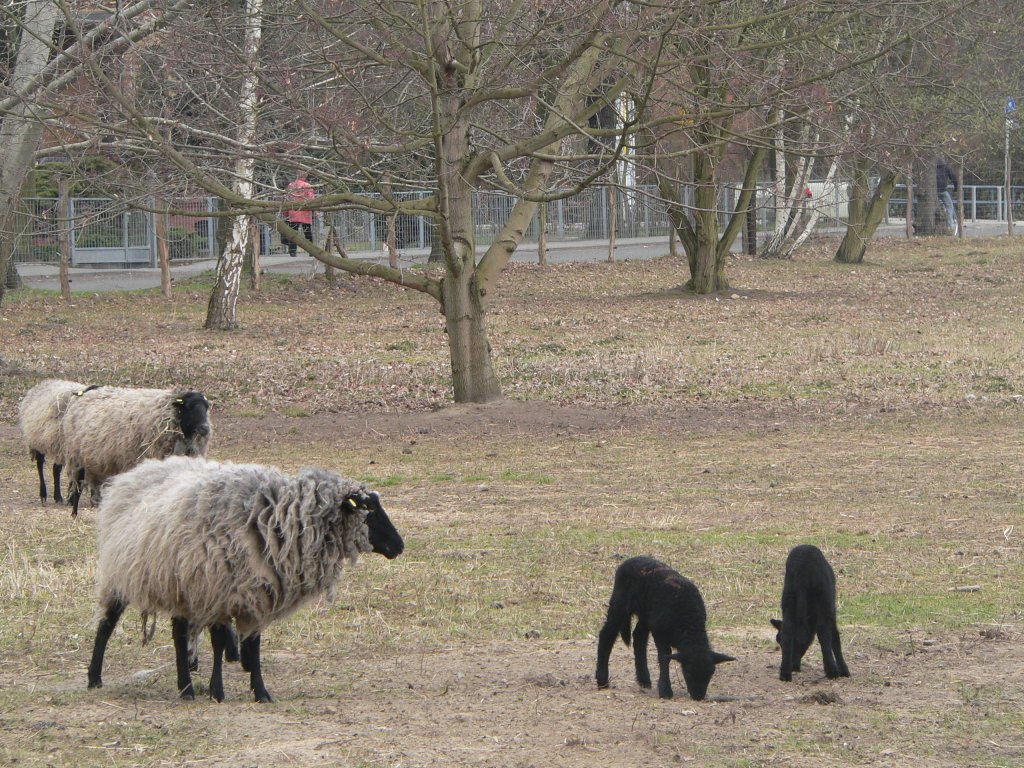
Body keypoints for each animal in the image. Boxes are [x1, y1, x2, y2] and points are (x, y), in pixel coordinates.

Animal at [60, 385, 211, 518]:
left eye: (206, 407)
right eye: (189, 407)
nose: (205, 429)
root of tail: (85, 393)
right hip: (77, 457)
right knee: (78, 486)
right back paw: (74, 514)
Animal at [86, 456, 403, 704]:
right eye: (369, 510)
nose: (399, 546)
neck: (276, 520)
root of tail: (134, 473)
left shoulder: (255, 593)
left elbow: (254, 644)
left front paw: (260, 691)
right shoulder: (217, 590)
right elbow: (218, 643)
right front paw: (217, 691)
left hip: (180, 584)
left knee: (178, 634)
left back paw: (185, 687)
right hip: (121, 574)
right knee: (106, 624)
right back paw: (95, 678)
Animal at [593, 557, 737, 700]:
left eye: (711, 674)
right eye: (688, 672)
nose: (698, 697)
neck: (688, 622)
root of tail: (630, 560)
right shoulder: (660, 633)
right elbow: (664, 657)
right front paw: (665, 690)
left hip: (647, 615)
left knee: (639, 637)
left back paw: (644, 680)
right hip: (620, 604)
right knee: (607, 634)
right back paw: (602, 681)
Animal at [770, 544, 851, 684]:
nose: (794, 666)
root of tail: (802, 573)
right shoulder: (832, 611)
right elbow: (835, 637)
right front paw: (844, 670)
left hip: (788, 598)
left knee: (788, 632)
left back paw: (785, 674)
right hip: (824, 601)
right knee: (824, 634)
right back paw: (832, 671)